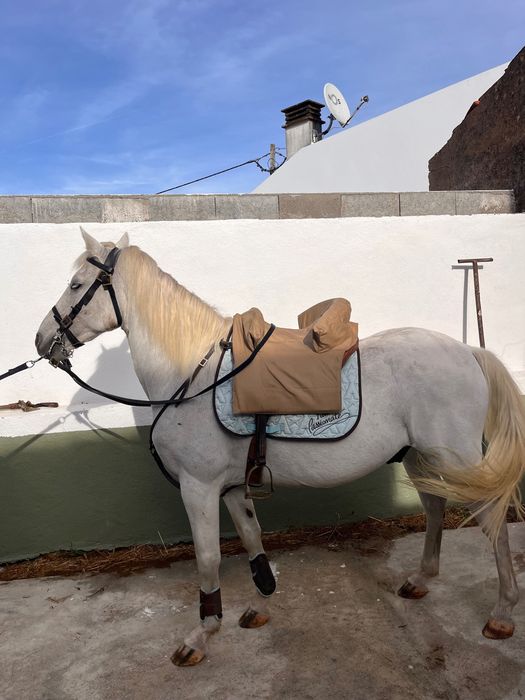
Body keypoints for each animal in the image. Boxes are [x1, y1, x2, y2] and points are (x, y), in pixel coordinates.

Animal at [35, 229, 525, 667]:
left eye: (76, 285)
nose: (42, 341)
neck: (191, 373)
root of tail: (468, 352)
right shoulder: (232, 488)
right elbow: (253, 542)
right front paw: (261, 604)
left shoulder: (199, 486)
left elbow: (208, 559)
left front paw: (200, 636)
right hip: (423, 458)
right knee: (436, 508)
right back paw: (421, 580)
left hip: (458, 458)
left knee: (492, 517)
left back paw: (502, 613)